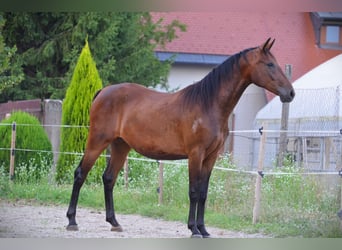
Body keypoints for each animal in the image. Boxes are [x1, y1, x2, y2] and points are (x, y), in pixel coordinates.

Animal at [66, 38, 294, 237]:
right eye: (270, 64)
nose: (290, 93)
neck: (208, 104)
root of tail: (102, 92)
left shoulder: (211, 157)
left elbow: (203, 193)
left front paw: (203, 229)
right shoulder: (195, 154)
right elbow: (193, 191)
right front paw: (193, 229)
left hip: (120, 146)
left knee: (108, 178)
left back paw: (114, 222)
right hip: (97, 142)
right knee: (80, 174)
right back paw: (72, 221)